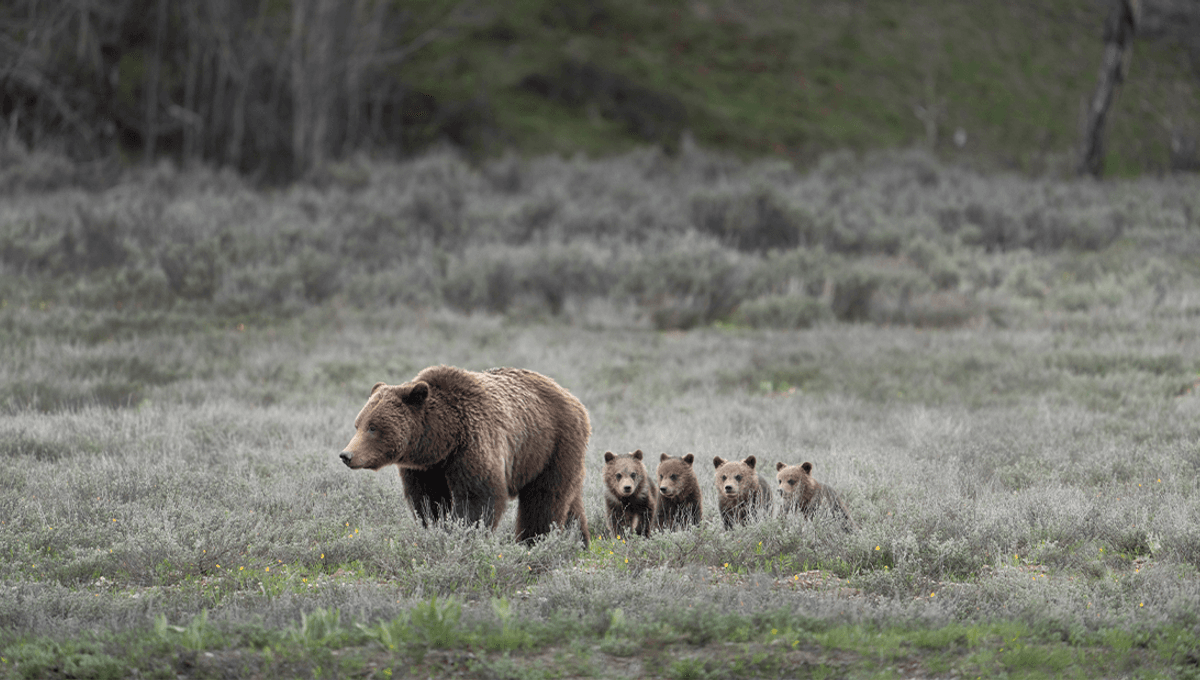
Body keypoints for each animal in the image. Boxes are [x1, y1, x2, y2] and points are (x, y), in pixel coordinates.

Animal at [340, 364, 592, 544]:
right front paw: (437, 527)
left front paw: (463, 533)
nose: (346, 455)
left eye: (373, 427)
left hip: (550, 444)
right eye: (358, 424)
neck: (443, 438)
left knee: (544, 497)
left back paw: (534, 541)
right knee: (570, 500)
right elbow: (429, 500)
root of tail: (573, 399)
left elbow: (478, 497)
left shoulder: (473, 443)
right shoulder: (427, 468)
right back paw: (578, 541)